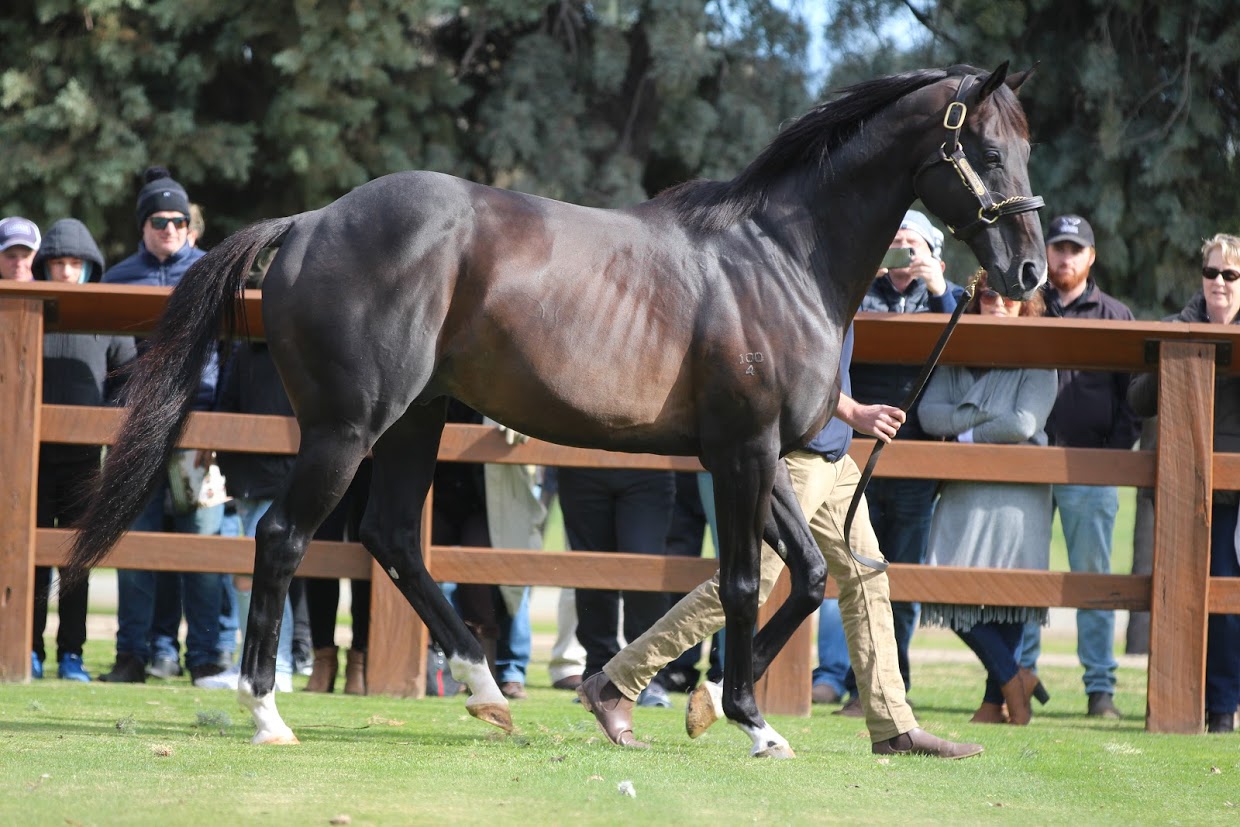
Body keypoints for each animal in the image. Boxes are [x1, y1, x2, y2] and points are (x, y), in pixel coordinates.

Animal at [65, 61, 1046, 753]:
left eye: (1025, 145)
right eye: (987, 149)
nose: (1030, 271)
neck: (777, 255)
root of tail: (308, 223)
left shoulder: (755, 453)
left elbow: (803, 575)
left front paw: (700, 705)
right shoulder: (742, 450)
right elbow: (737, 581)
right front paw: (740, 716)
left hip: (416, 419)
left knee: (392, 537)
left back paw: (489, 693)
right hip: (348, 430)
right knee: (282, 538)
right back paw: (268, 711)